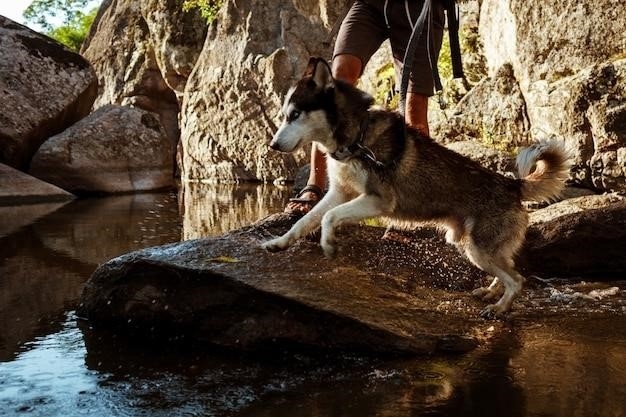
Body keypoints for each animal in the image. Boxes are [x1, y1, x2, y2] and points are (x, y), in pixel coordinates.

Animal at [260, 55, 568, 316]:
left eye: (295, 114)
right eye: (286, 114)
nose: (272, 145)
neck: (356, 138)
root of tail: (512, 184)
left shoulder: (377, 200)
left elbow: (328, 218)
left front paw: (328, 244)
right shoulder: (339, 192)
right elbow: (307, 219)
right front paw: (279, 242)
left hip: (478, 248)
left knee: (517, 279)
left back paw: (500, 308)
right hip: (473, 246)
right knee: (510, 269)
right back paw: (491, 293)